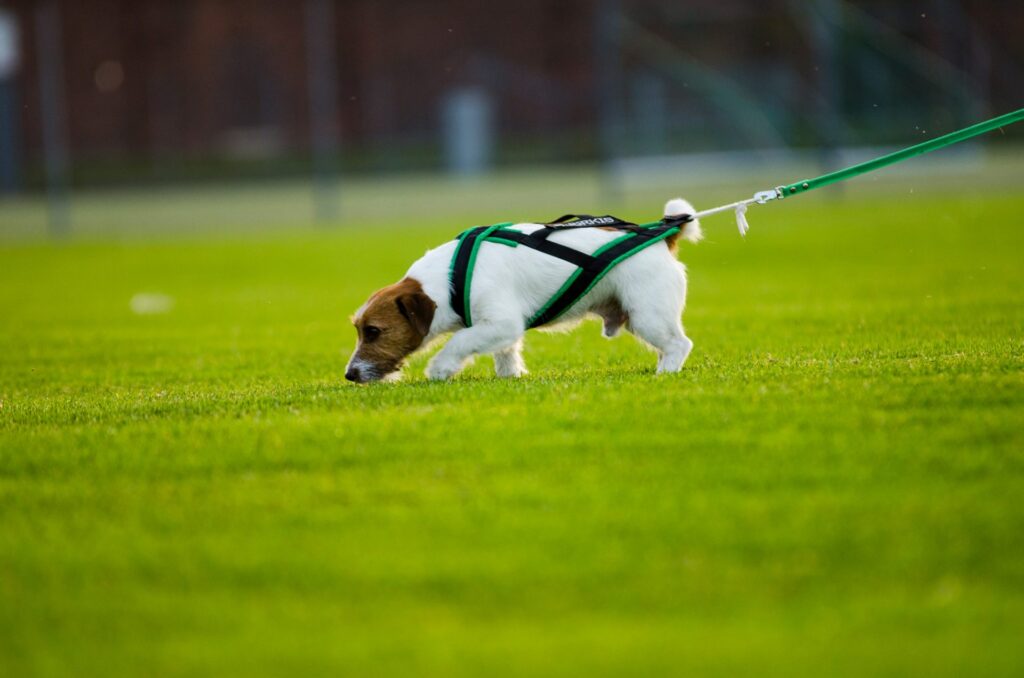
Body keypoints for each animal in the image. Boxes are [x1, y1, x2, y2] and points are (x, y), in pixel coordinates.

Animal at [348, 199, 700, 385]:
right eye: (360, 330)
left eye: (374, 331)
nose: (349, 374)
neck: (448, 279)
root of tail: (663, 236)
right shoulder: (500, 330)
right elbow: (506, 354)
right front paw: (511, 377)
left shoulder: (501, 322)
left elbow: (460, 340)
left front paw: (440, 368)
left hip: (649, 314)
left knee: (679, 344)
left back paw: (665, 372)